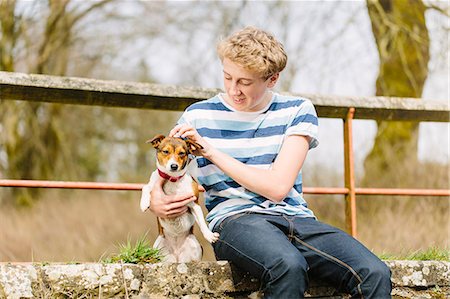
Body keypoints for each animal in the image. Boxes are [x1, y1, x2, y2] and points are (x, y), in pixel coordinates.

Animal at [140, 134, 219, 262]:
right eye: (165, 151)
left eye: (181, 153)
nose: (174, 166)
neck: (172, 180)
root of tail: (177, 257)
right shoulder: (153, 184)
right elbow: (145, 187)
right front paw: (144, 203)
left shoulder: (194, 204)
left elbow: (202, 222)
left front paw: (209, 235)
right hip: (158, 248)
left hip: (194, 246)